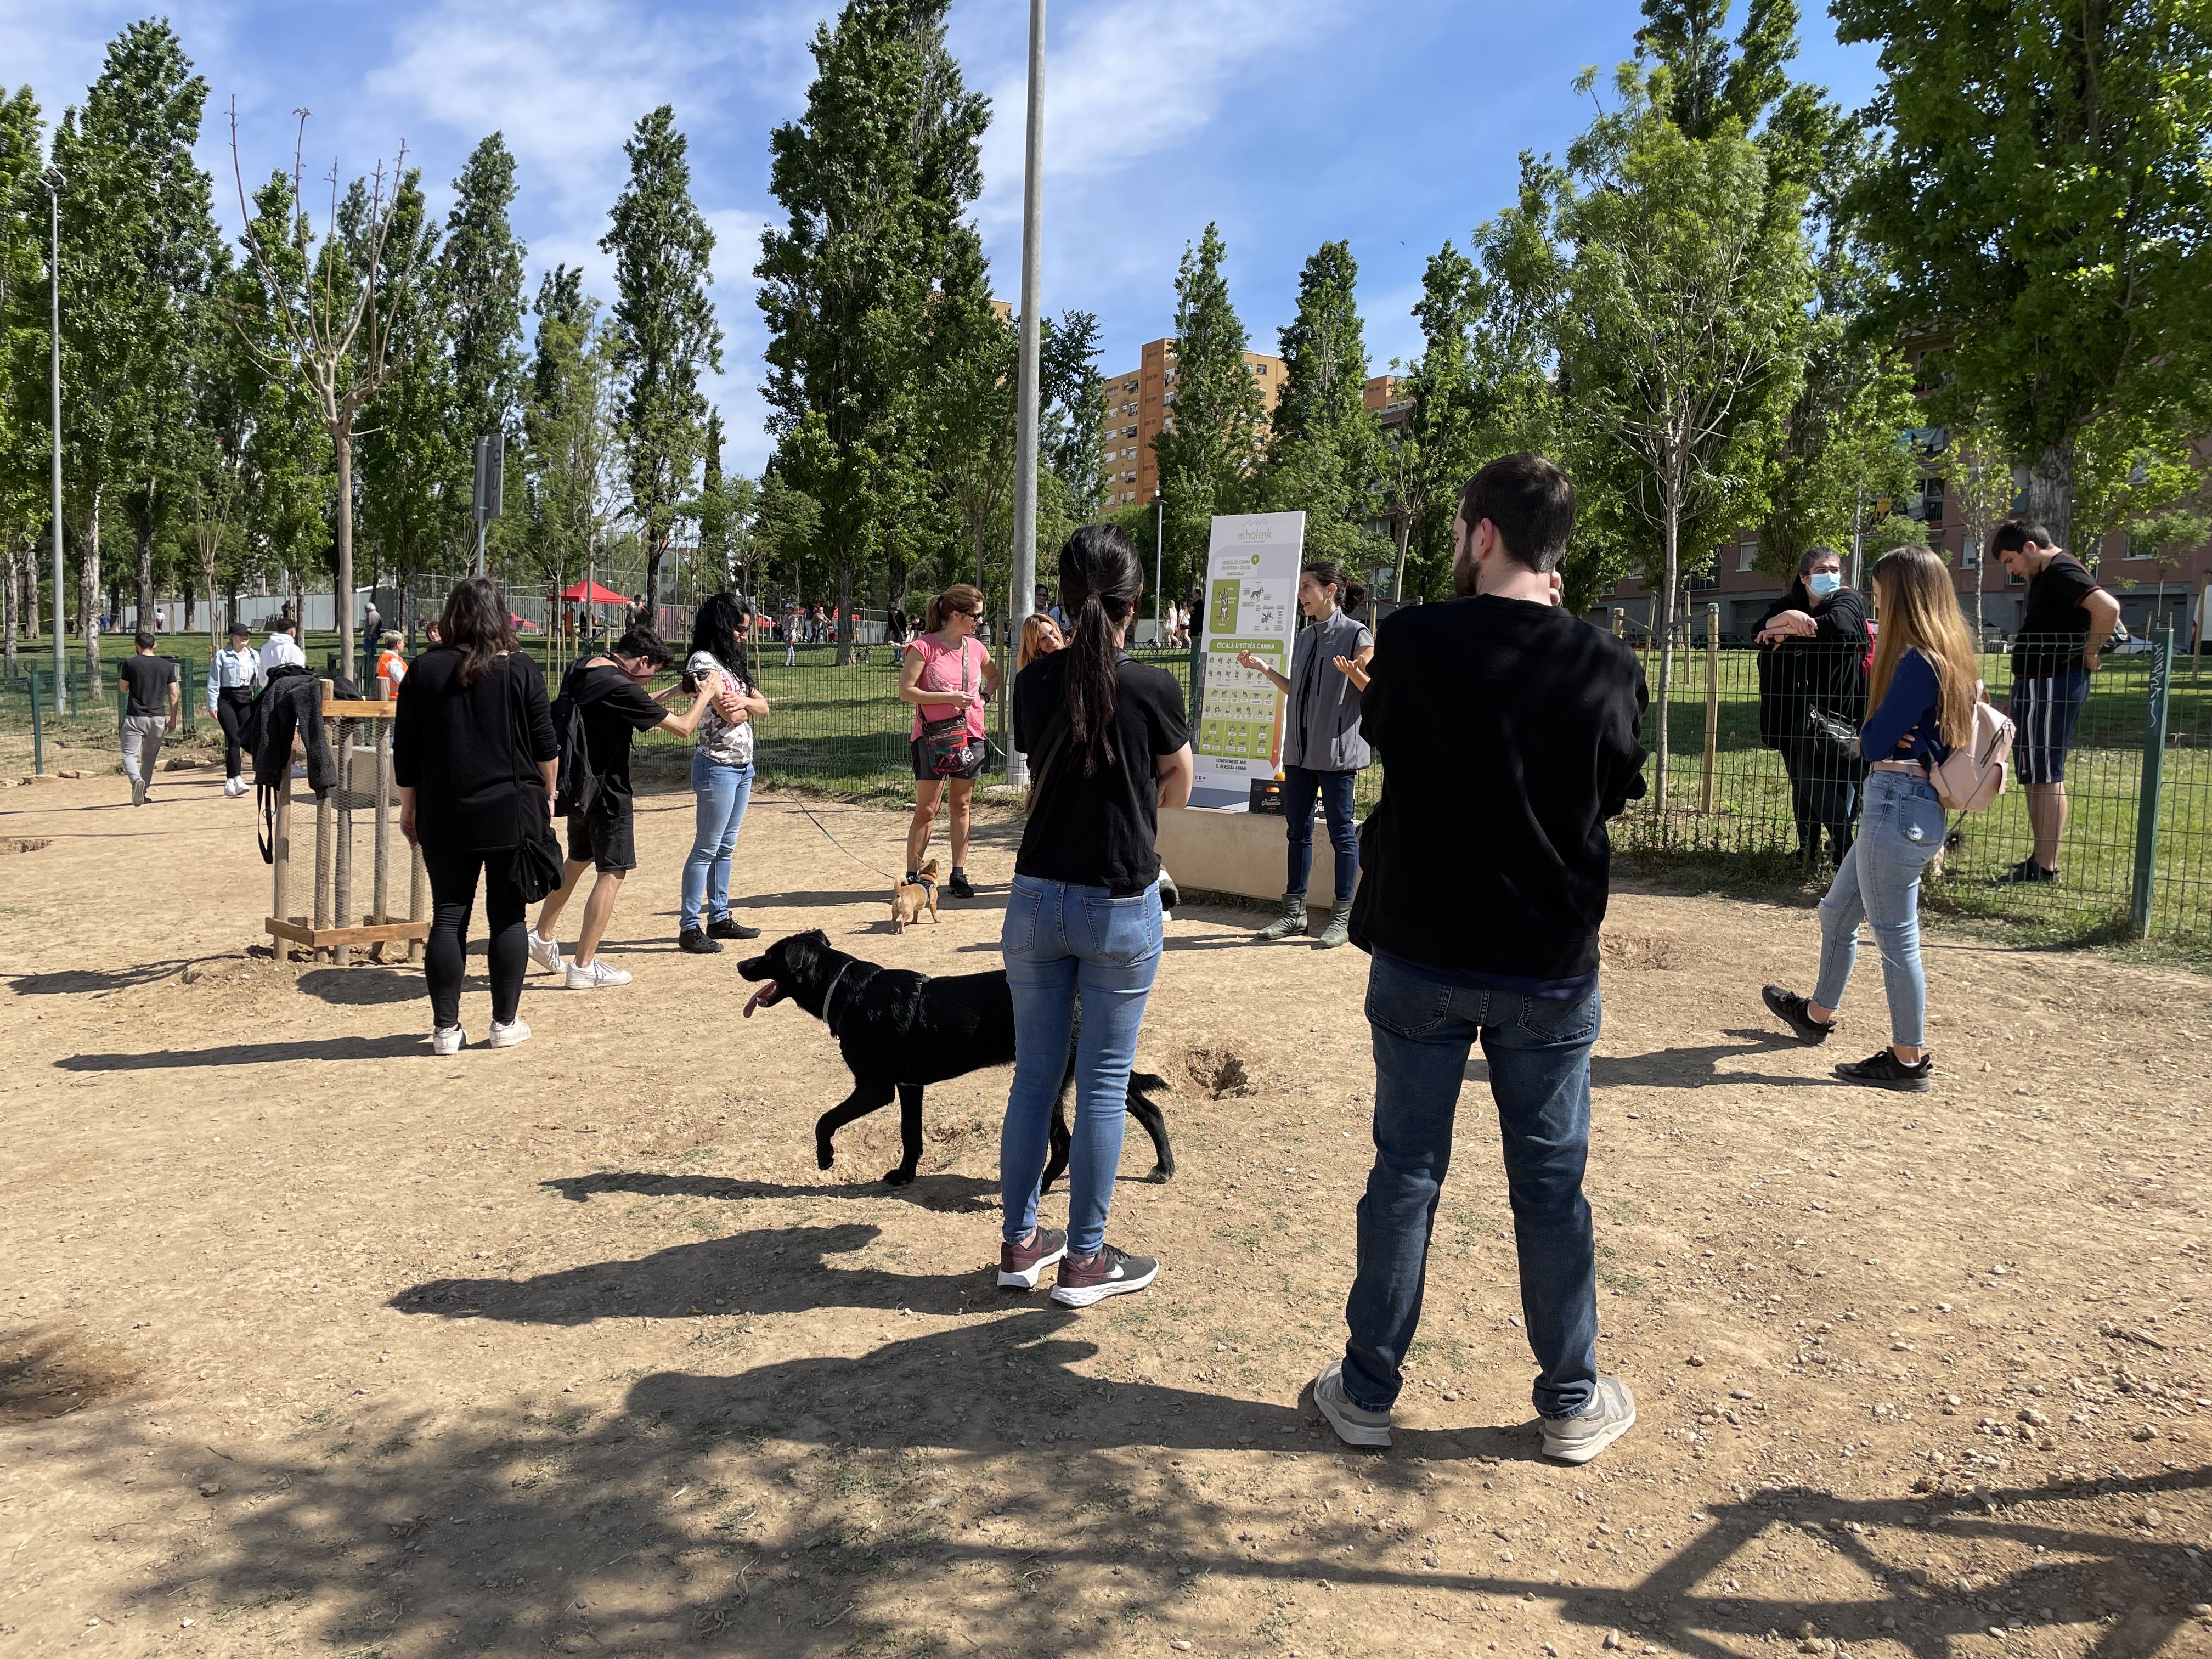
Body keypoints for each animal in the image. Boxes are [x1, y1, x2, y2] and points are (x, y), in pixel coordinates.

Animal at [734, 938, 1177, 1194]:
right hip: (1094, 1072)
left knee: (1065, 1143)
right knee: (1150, 1110)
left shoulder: (874, 1088)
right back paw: (1164, 1166)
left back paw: (1043, 1185)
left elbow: (825, 1120)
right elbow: (910, 1136)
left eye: (770, 955)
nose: (740, 965)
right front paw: (904, 1175)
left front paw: (825, 1157)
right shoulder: (909, 1086)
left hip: (1050, 1080)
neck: (848, 990)